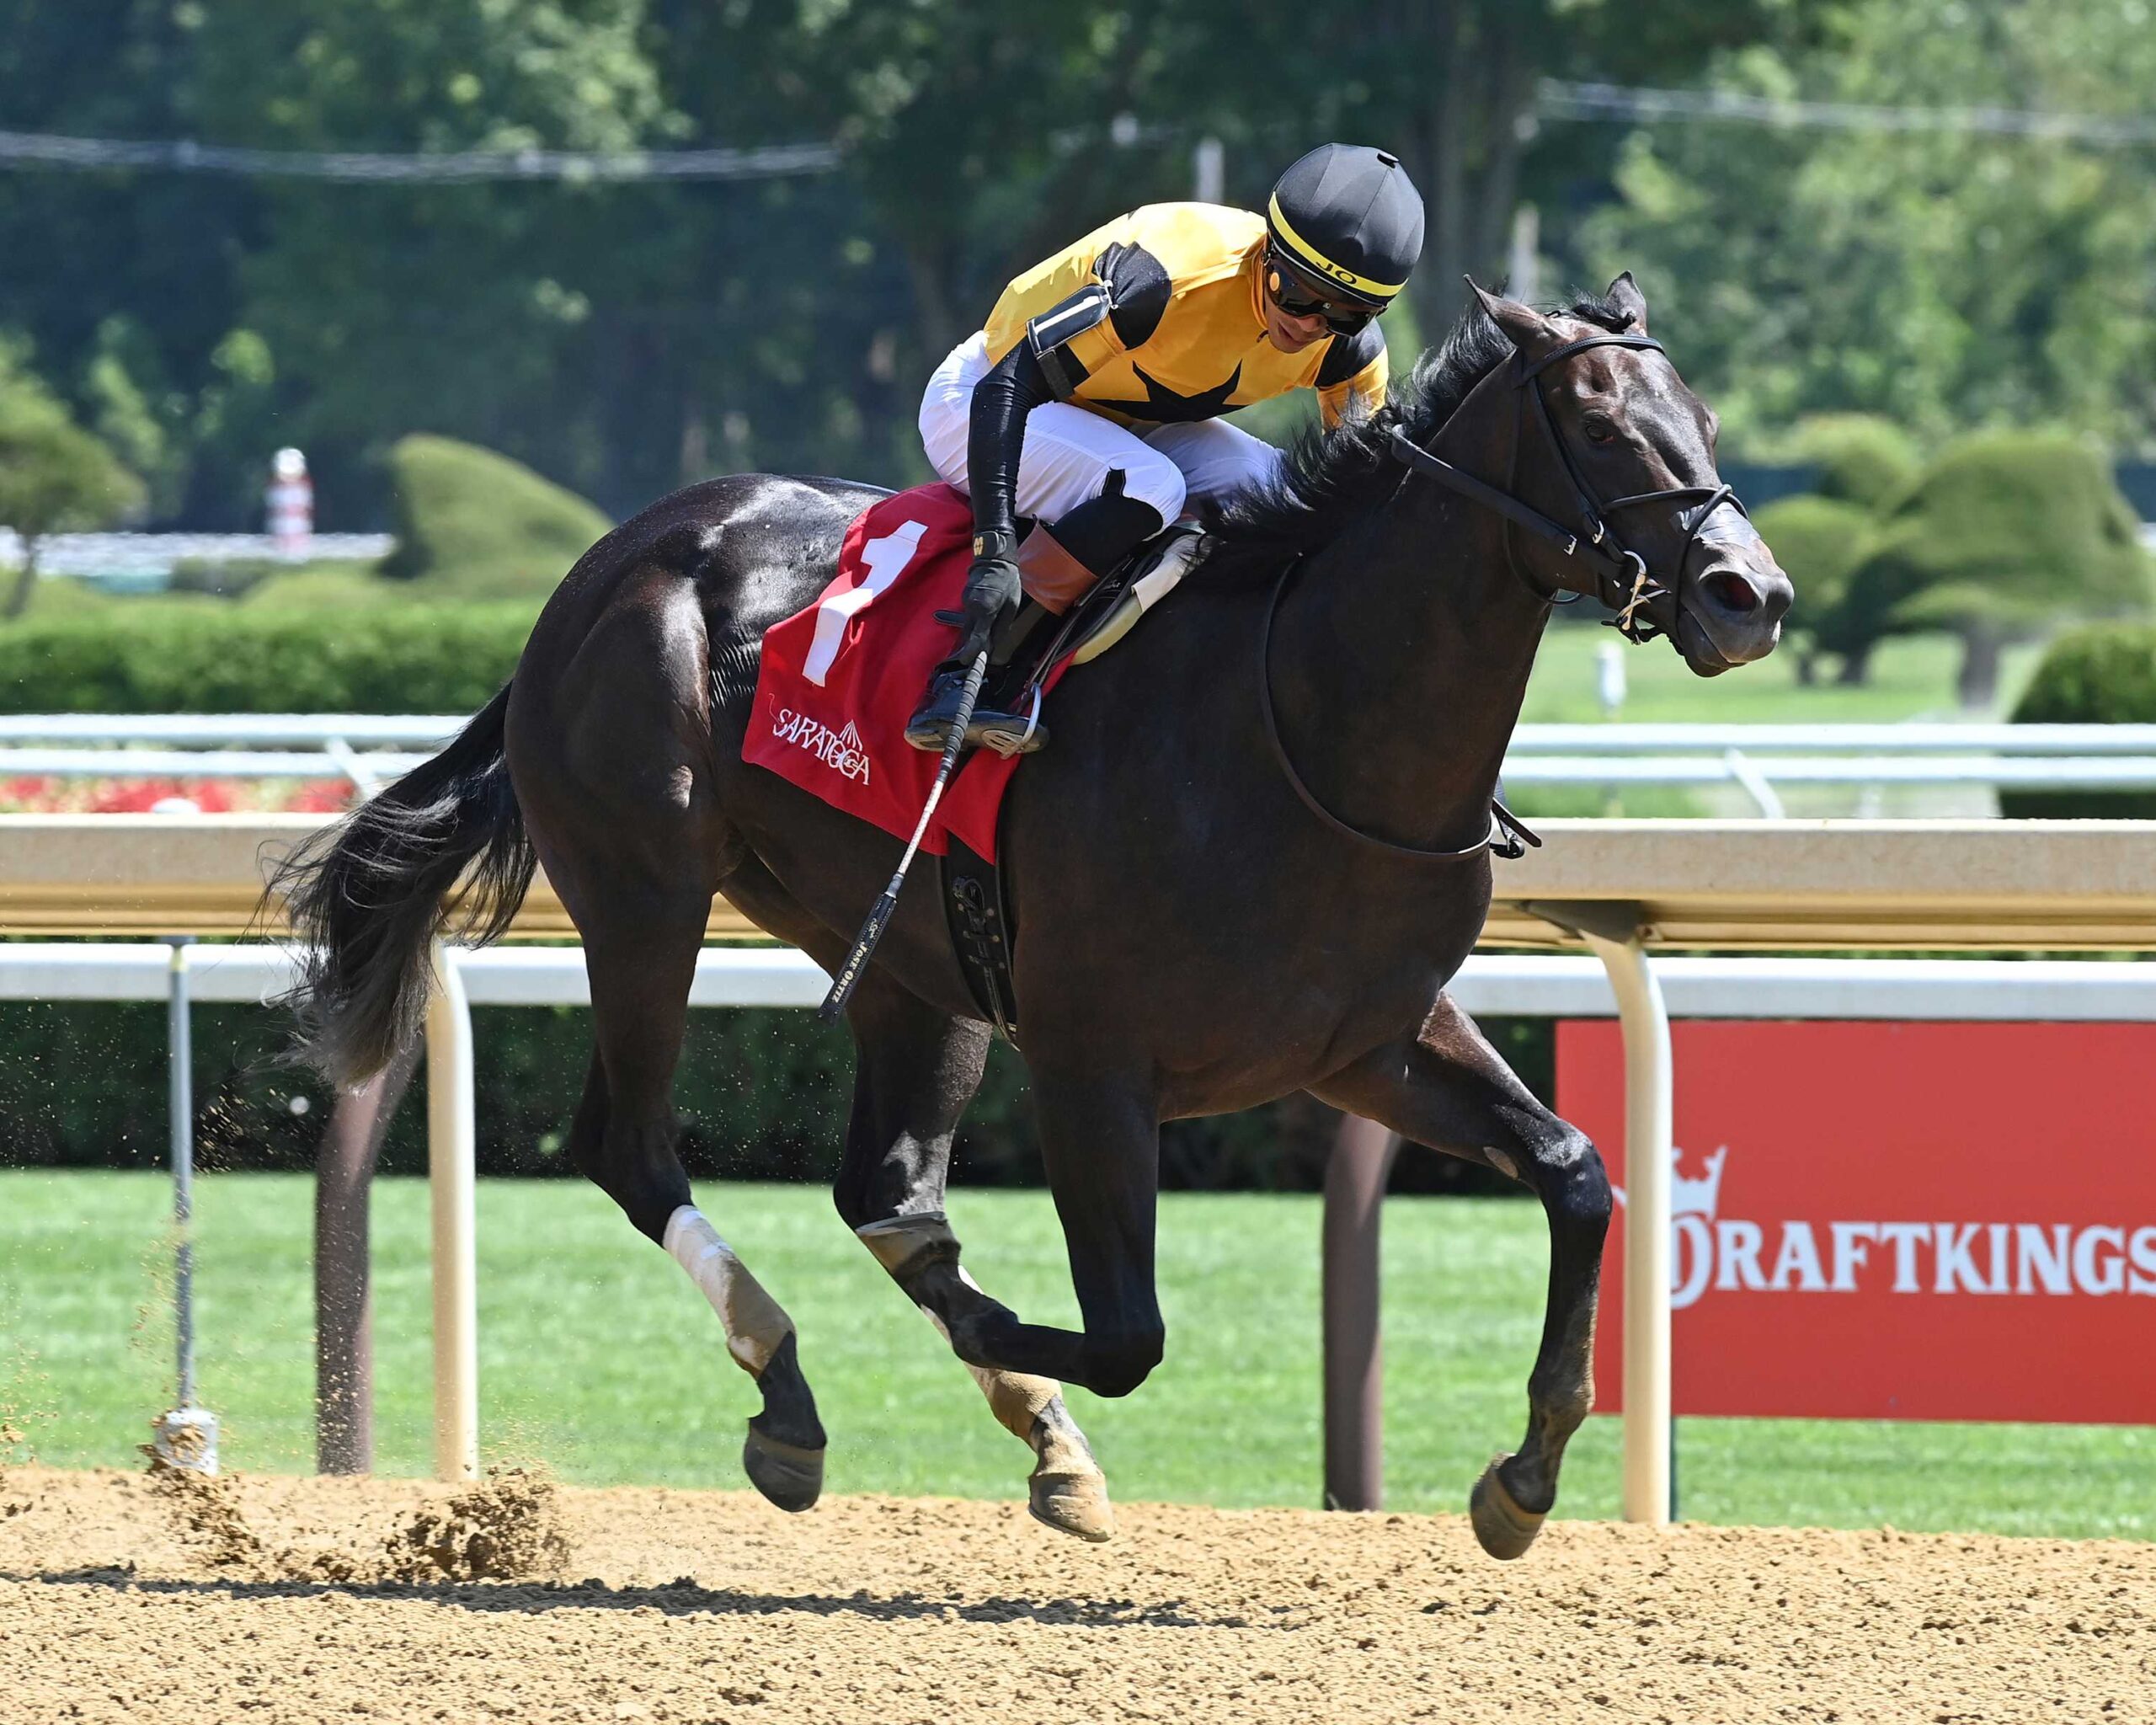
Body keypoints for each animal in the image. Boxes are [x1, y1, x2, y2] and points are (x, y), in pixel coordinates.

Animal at [273, 277, 1790, 1559]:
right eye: (1605, 424)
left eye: (1707, 420)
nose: (1752, 594)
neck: (1306, 724)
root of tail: (606, 566)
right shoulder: (1089, 1062)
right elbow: (1125, 1336)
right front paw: (1010, 1355)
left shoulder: (1370, 1038)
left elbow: (1577, 1171)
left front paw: (1522, 1476)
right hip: (645, 895)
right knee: (636, 1149)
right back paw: (795, 1390)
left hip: (902, 957)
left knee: (884, 1186)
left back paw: (1006, 1425)